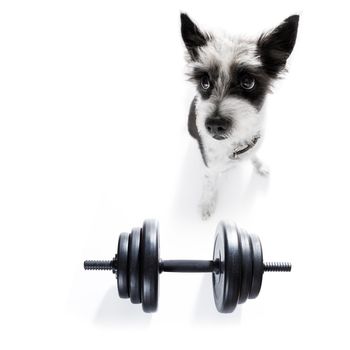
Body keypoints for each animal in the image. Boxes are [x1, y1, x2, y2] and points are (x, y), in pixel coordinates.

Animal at [182, 13, 300, 220]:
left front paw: (260, 165)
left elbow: (254, 156)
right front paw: (206, 204)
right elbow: (209, 183)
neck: (235, 146)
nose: (214, 124)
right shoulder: (210, 166)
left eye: (248, 82)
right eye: (205, 82)